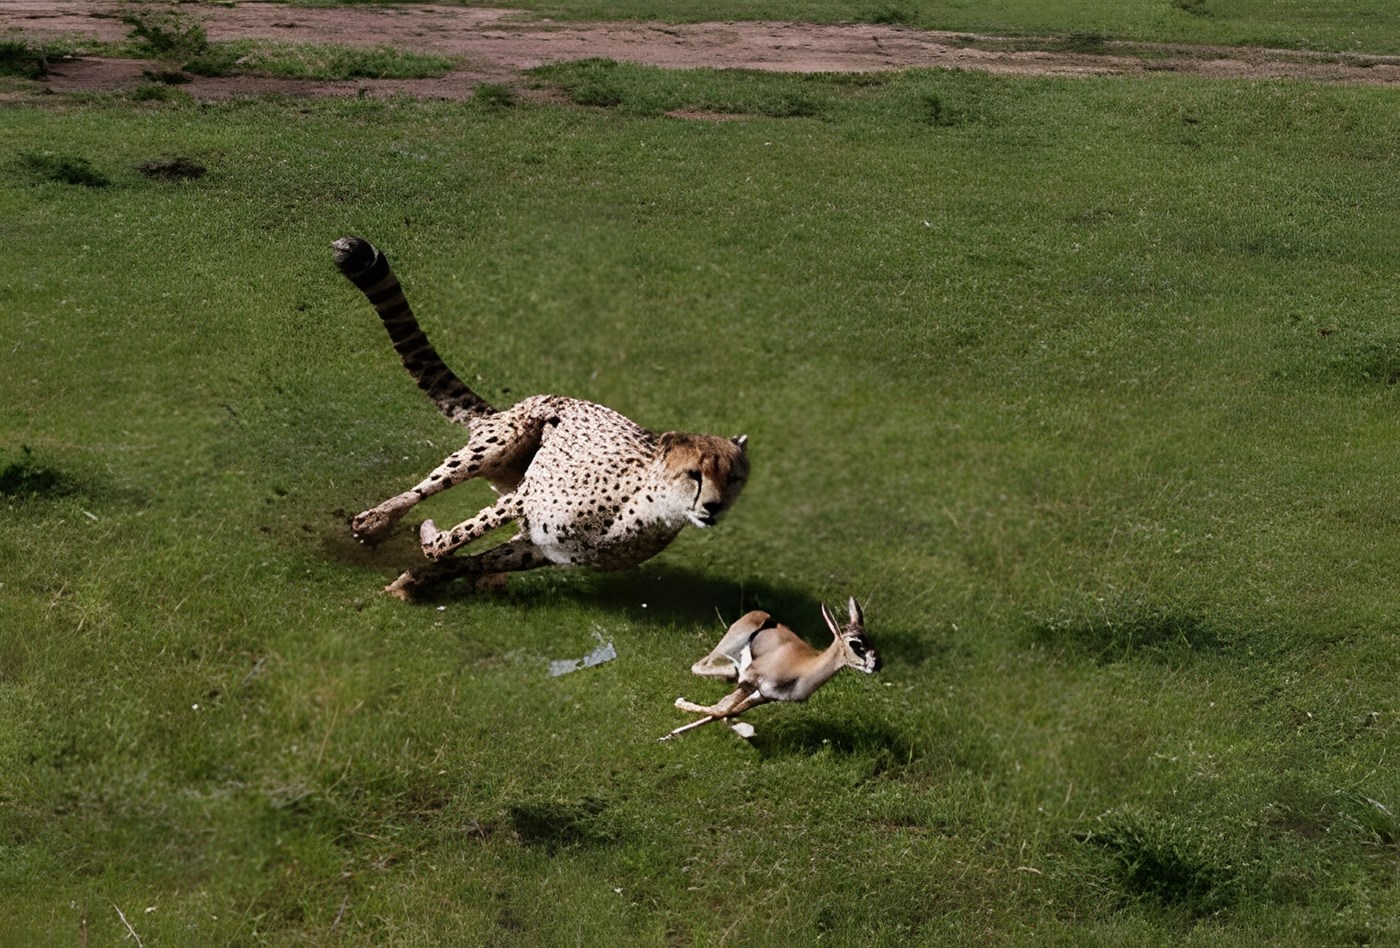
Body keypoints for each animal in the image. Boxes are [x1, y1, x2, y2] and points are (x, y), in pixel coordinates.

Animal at [331, 236, 750, 600]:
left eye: (733, 478)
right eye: (693, 474)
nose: (714, 507)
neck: (649, 508)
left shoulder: (539, 548)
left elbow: (469, 561)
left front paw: (420, 580)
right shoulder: (526, 497)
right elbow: (455, 539)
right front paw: (427, 545)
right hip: (498, 446)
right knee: (428, 486)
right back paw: (376, 520)